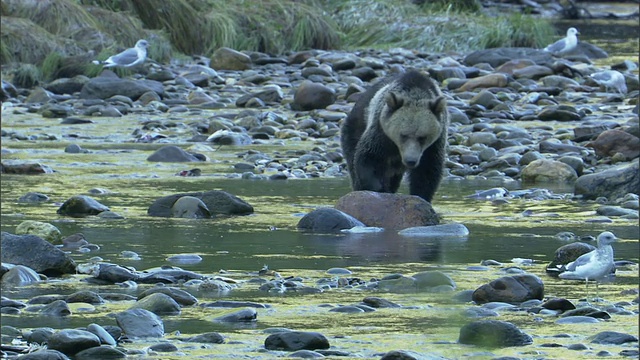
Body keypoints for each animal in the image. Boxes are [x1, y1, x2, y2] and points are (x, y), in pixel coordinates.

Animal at [340, 69, 450, 202]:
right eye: (403, 135)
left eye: (422, 137)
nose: (411, 161)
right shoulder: (381, 131)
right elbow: (369, 157)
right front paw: (378, 188)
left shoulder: (435, 143)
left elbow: (428, 169)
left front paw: (421, 195)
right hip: (355, 128)